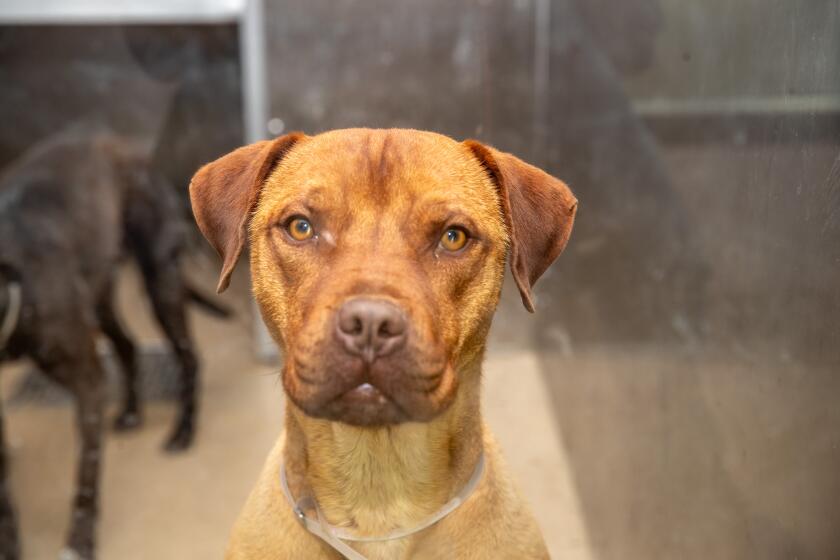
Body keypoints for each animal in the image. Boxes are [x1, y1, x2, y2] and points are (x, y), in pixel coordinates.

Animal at [0, 128, 226, 560]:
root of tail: (119, 142)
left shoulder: (87, 382)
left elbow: (85, 476)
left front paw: (79, 541)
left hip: (160, 280)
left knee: (189, 358)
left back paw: (184, 430)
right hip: (102, 297)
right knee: (127, 346)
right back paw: (133, 411)